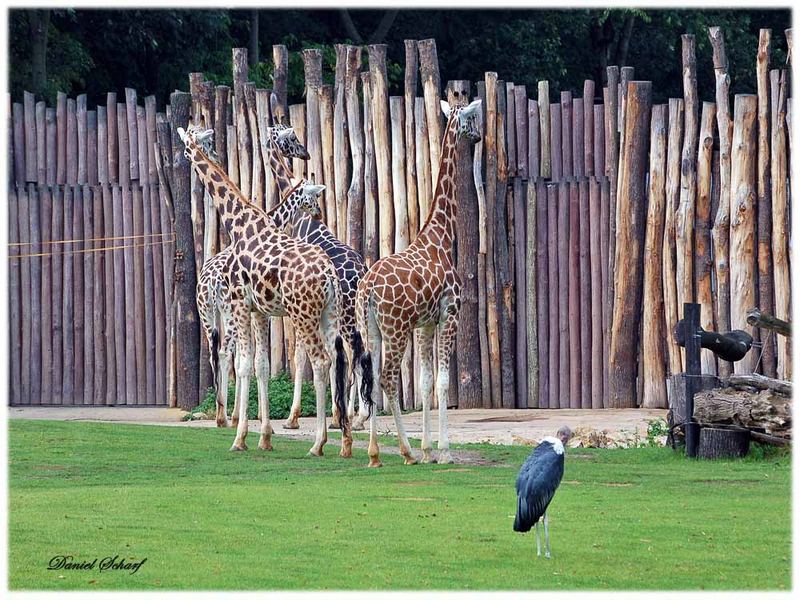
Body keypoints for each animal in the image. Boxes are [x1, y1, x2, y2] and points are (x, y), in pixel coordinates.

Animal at [180, 124, 358, 458]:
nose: (305, 153)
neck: (238, 223)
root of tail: (329, 275)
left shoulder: (240, 303)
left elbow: (246, 365)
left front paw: (241, 438)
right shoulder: (260, 311)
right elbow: (261, 366)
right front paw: (263, 436)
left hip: (302, 314)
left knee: (321, 361)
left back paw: (318, 442)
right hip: (328, 314)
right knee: (339, 358)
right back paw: (347, 441)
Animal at [354, 98, 482, 466]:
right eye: (471, 117)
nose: (479, 136)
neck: (440, 236)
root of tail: (368, 290)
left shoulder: (425, 323)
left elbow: (424, 382)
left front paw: (428, 450)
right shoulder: (450, 314)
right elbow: (441, 381)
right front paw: (443, 451)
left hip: (371, 329)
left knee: (369, 377)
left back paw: (376, 453)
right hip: (395, 329)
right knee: (387, 378)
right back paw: (404, 451)